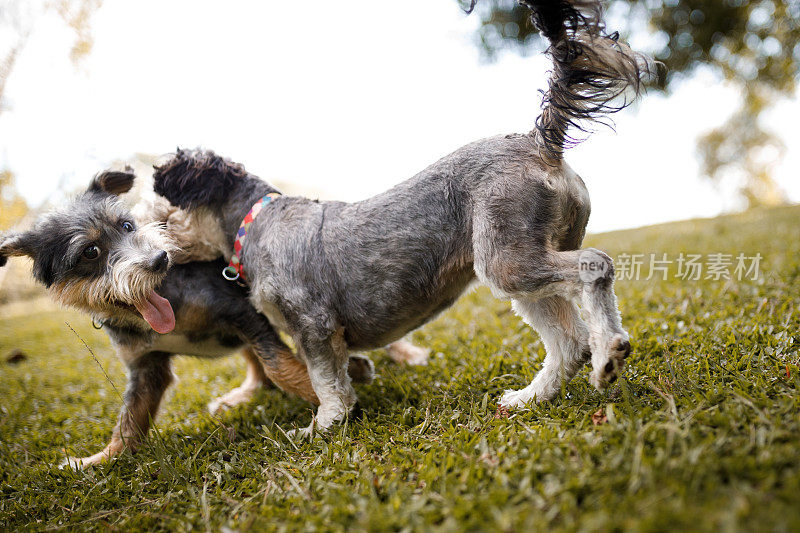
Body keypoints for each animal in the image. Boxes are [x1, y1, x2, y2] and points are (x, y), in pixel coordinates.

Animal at [153, 0, 652, 434]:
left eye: (157, 214)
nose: (153, 259)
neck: (255, 223)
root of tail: (538, 140)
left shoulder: (313, 326)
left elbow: (326, 383)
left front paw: (324, 426)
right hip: (520, 272)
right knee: (568, 345)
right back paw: (529, 398)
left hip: (509, 262)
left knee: (595, 267)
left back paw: (609, 356)